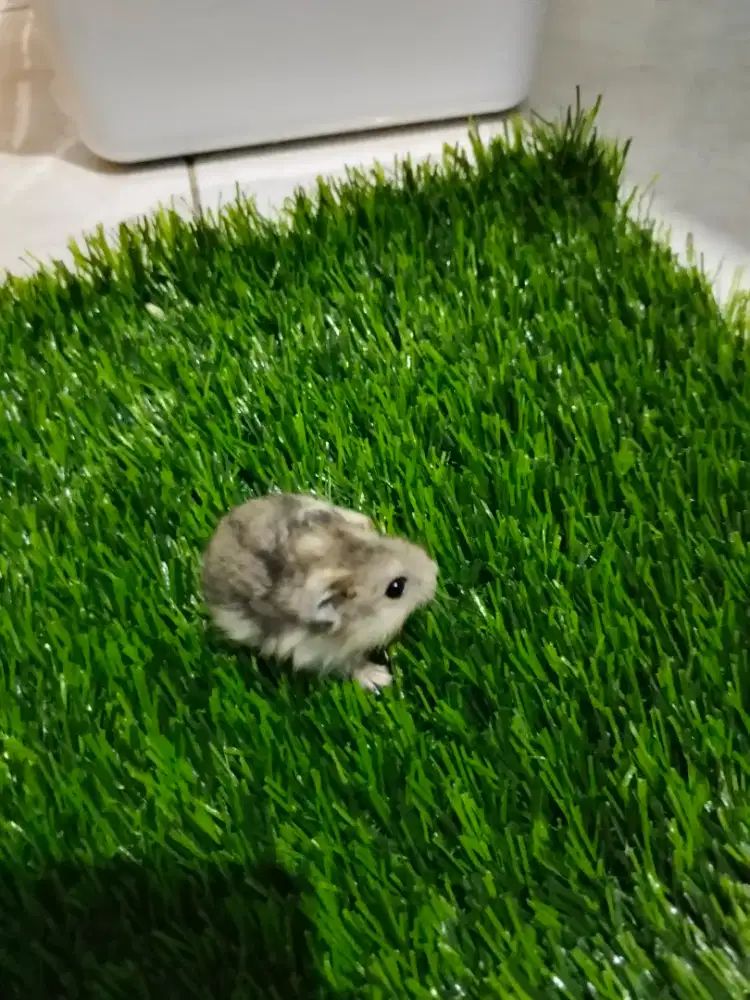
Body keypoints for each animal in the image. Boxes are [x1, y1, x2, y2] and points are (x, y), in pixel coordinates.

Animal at [201, 493, 438, 690]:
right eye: (396, 588)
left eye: (384, 540)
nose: (435, 571)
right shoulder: (322, 653)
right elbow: (353, 665)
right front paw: (382, 679)